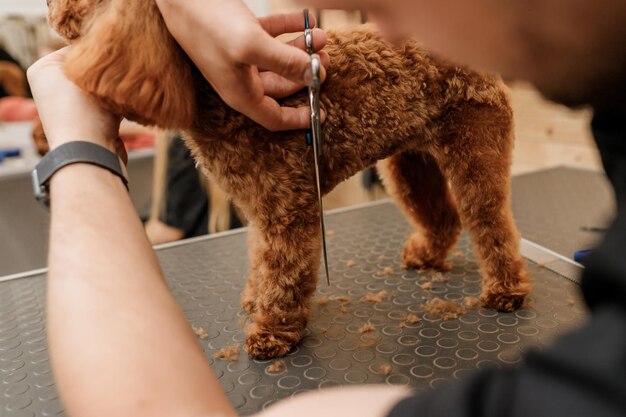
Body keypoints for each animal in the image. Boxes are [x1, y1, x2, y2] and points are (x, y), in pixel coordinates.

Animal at [47, 0, 528, 358]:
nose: (51, 5)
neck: (219, 98)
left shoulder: (288, 209)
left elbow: (285, 274)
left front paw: (273, 333)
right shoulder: (259, 209)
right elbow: (261, 261)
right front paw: (255, 299)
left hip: (474, 150)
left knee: (490, 223)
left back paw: (505, 290)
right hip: (410, 163)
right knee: (442, 217)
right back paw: (426, 255)